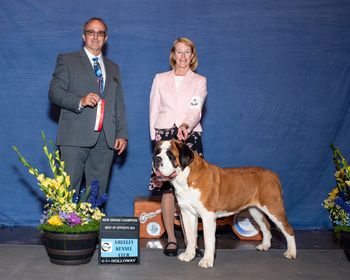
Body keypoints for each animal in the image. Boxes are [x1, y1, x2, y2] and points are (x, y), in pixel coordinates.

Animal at [152, 140, 296, 270]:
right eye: (157, 152)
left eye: (170, 155)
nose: (156, 159)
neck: (186, 178)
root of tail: (273, 175)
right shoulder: (187, 214)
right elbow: (190, 236)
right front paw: (189, 255)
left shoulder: (208, 216)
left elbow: (208, 239)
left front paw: (207, 261)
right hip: (255, 210)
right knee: (266, 227)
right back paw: (265, 246)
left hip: (274, 209)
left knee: (288, 229)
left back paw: (291, 252)